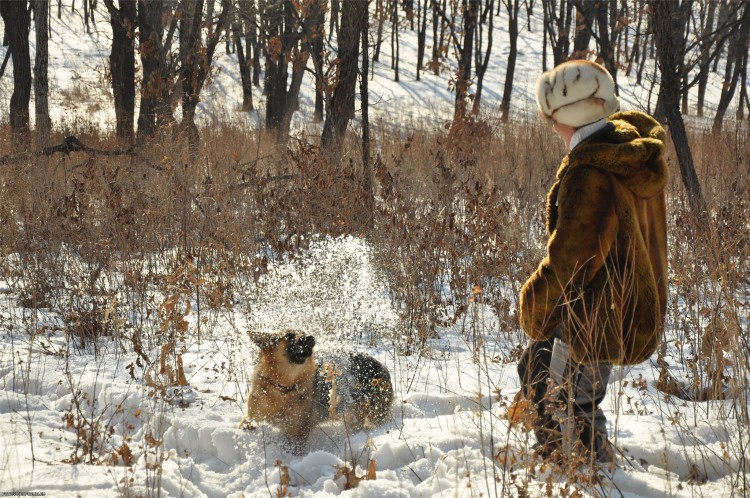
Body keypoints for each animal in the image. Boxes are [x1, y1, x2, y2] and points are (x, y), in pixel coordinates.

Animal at [241, 328, 396, 450]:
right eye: (290, 335)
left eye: (303, 333)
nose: (311, 338)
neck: (284, 387)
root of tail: (382, 367)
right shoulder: (251, 417)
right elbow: (245, 426)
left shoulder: (296, 432)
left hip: (363, 416)